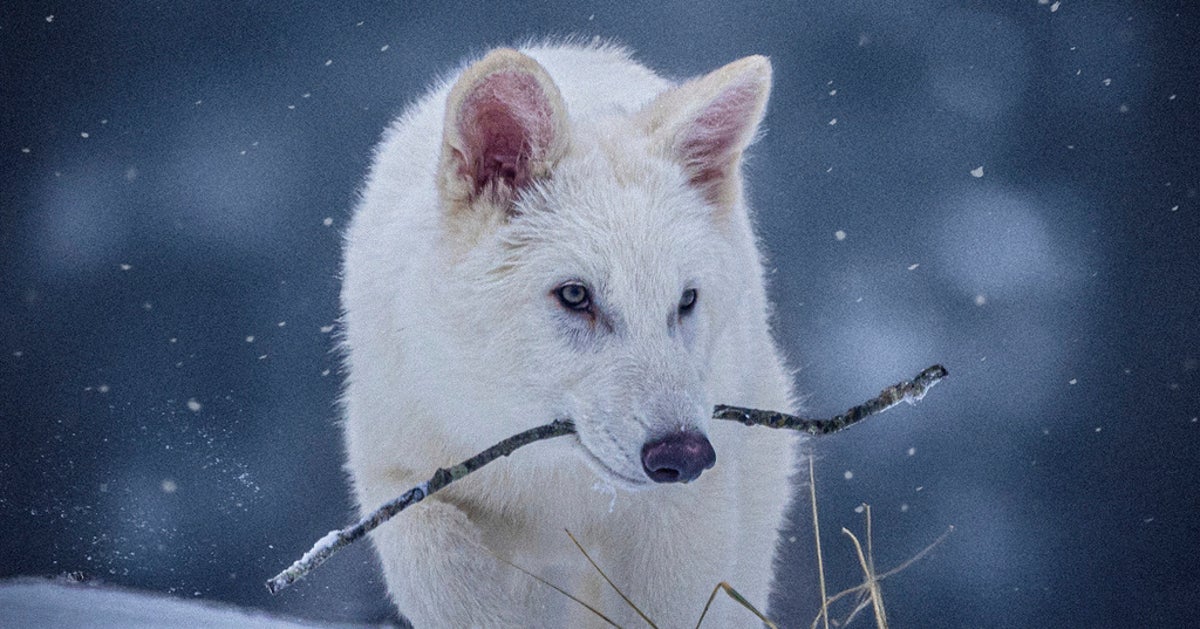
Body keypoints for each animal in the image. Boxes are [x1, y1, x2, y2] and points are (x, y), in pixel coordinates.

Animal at [340, 41, 800, 627]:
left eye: (685, 301)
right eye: (576, 295)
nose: (685, 454)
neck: (550, 477)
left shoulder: (684, 519)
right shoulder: (397, 475)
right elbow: (446, 573)